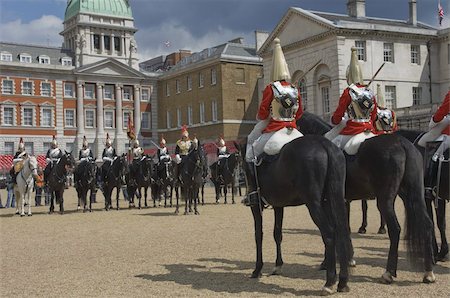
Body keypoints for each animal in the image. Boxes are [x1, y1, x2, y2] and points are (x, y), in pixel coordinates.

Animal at [237, 136, 354, 294]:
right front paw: (277, 265)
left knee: (329, 234)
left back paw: (329, 282)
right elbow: (277, 234)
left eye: (241, 163)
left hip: (313, 204)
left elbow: (258, 235)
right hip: (331, 200)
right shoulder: (278, 206)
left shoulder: (256, 208)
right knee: (341, 232)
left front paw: (257, 269)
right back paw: (342, 282)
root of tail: (323, 143)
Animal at [298, 110, 436, 282]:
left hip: (384, 200)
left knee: (395, 229)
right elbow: (344, 227)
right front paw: (348, 259)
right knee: (427, 224)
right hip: (412, 195)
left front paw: (328, 262)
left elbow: (335, 228)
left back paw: (389, 272)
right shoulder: (343, 201)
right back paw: (428, 272)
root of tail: (402, 143)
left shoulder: (328, 202)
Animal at [396, 128, 448, 260]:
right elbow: (441, 222)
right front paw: (441, 251)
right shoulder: (438, 196)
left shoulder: (426, 197)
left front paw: (435, 251)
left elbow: (432, 222)